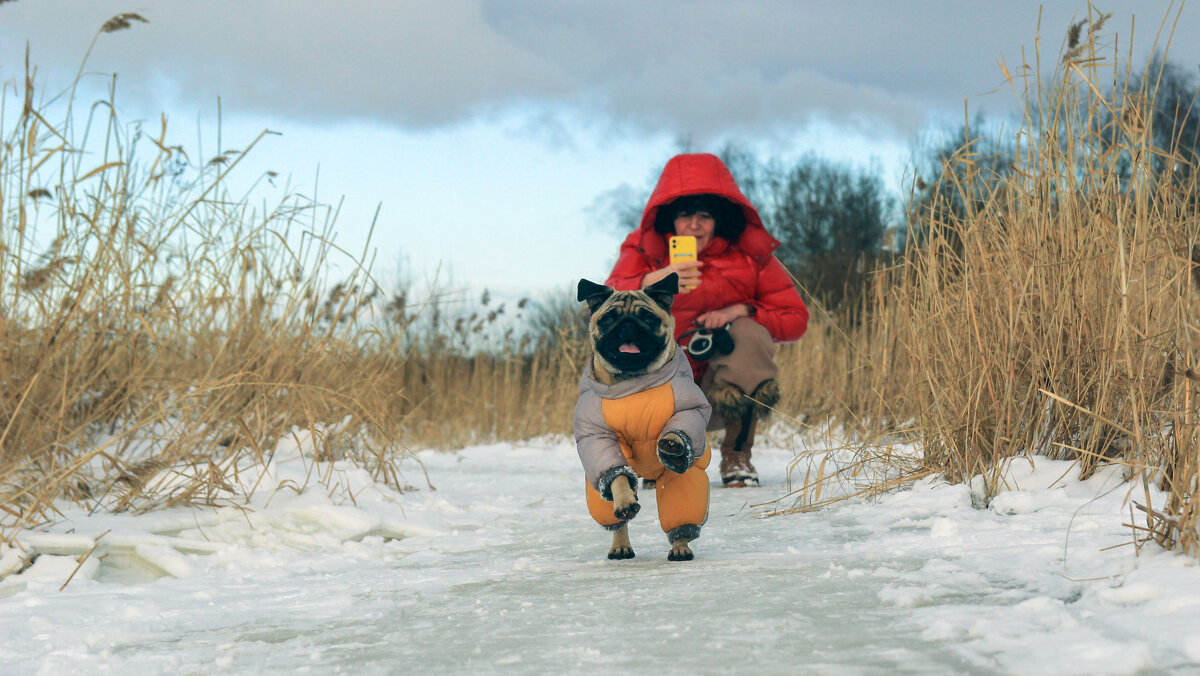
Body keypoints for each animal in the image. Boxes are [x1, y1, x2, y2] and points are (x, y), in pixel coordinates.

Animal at [573, 272, 710, 564]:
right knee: (616, 517)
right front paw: (625, 500)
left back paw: (680, 547)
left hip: (683, 481)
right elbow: (618, 476)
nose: (627, 324)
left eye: (648, 318)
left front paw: (673, 444)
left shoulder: (688, 409)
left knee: (679, 511)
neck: (633, 383)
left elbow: (679, 427)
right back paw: (620, 544)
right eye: (609, 318)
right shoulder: (603, 441)